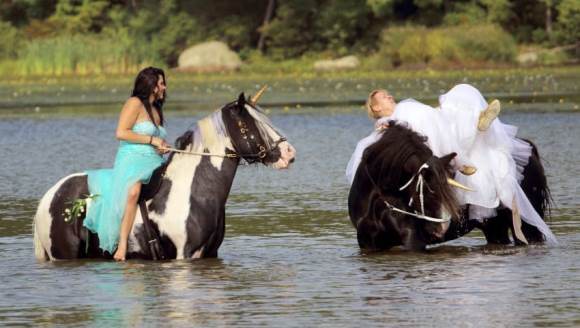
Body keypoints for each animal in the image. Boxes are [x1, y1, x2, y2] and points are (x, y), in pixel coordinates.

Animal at [32, 92, 294, 262]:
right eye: (247, 126)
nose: (289, 153)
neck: (191, 191)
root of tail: (51, 195)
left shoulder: (210, 254)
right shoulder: (184, 254)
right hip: (63, 254)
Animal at [346, 122, 552, 251]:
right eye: (426, 190)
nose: (440, 229)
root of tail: (529, 149)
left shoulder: (413, 241)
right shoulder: (368, 242)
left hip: (527, 226)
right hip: (495, 227)